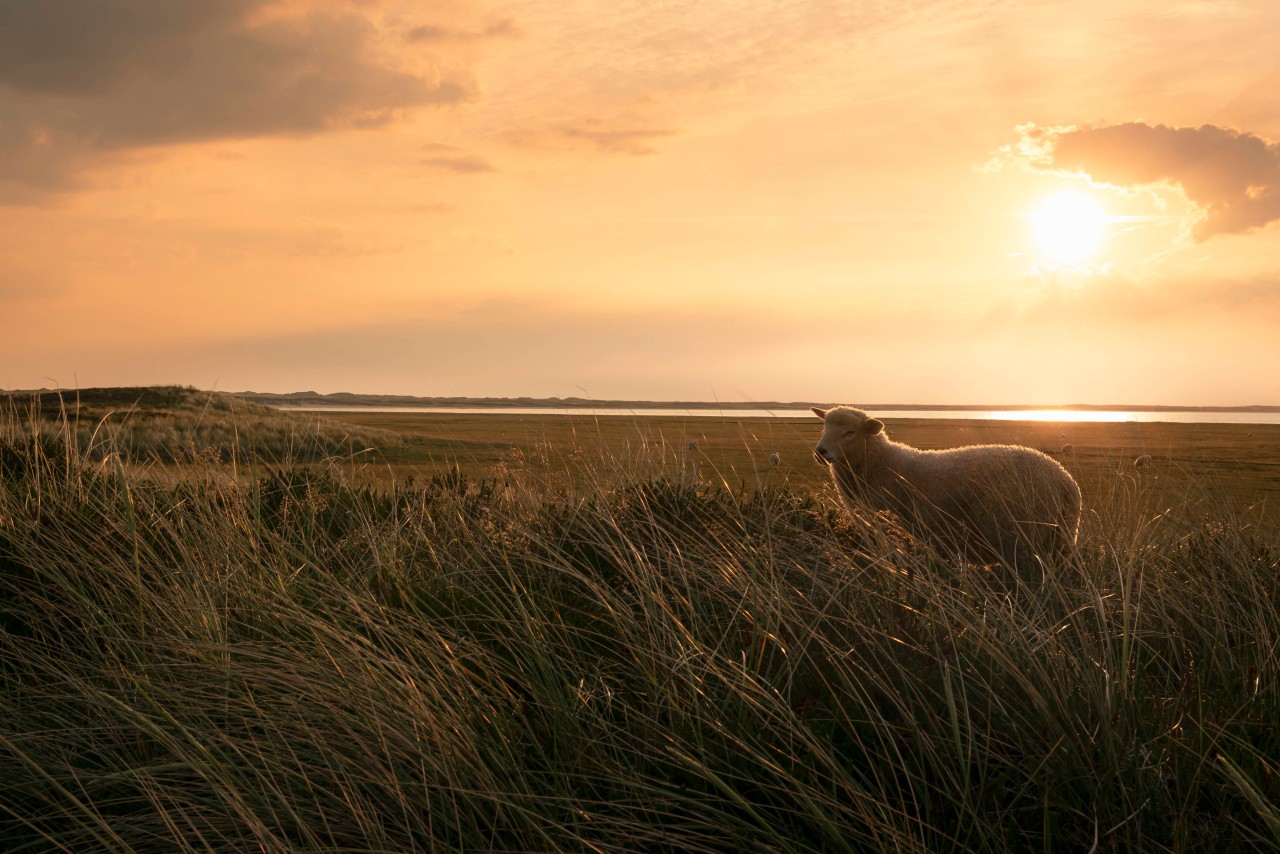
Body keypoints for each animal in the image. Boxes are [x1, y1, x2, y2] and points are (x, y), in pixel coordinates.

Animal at [808, 407, 1080, 573]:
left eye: (850, 432)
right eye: (823, 428)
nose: (820, 452)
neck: (880, 462)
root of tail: (1065, 481)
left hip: (1022, 538)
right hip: (1059, 539)